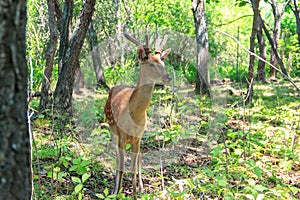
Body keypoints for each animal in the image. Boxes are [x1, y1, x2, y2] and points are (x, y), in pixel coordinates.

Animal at [105, 33, 171, 198]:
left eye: (163, 63)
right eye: (151, 64)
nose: (168, 77)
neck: (134, 116)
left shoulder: (138, 137)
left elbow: (133, 169)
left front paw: (135, 194)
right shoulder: (122, 136)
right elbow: (122, 166)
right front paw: (117, 193)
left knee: (139, 157)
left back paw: (141, 187)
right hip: (112, 131)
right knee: (117, 159)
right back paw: (116, 188)